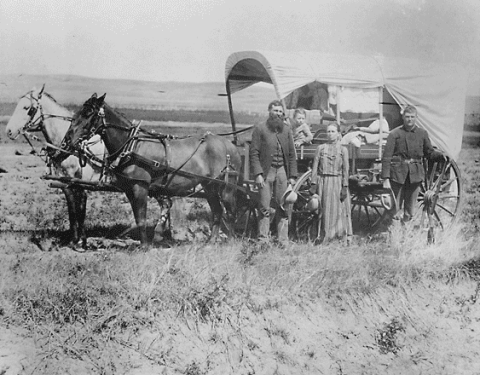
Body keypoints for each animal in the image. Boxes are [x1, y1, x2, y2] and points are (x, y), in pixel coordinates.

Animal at [6, 86, 107, 248]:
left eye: (27, 108)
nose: (8, 131)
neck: (71, 145)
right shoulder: (65, 182)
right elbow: (72, 209)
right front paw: (73, 240)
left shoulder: (80, 183)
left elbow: (81, 208)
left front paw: (82, 241)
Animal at [63, 93, 242, 245]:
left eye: (89, 113)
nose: (68, 140)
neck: (132, 146)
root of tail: (230, 145)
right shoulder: (129, 189)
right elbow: (138, 218)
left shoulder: (140, 187)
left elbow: (142, 218)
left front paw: (145, 247)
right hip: (209, 186)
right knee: (217, 211)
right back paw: (210, 243)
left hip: (227, 187)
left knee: (231, 213)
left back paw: (232, 243)